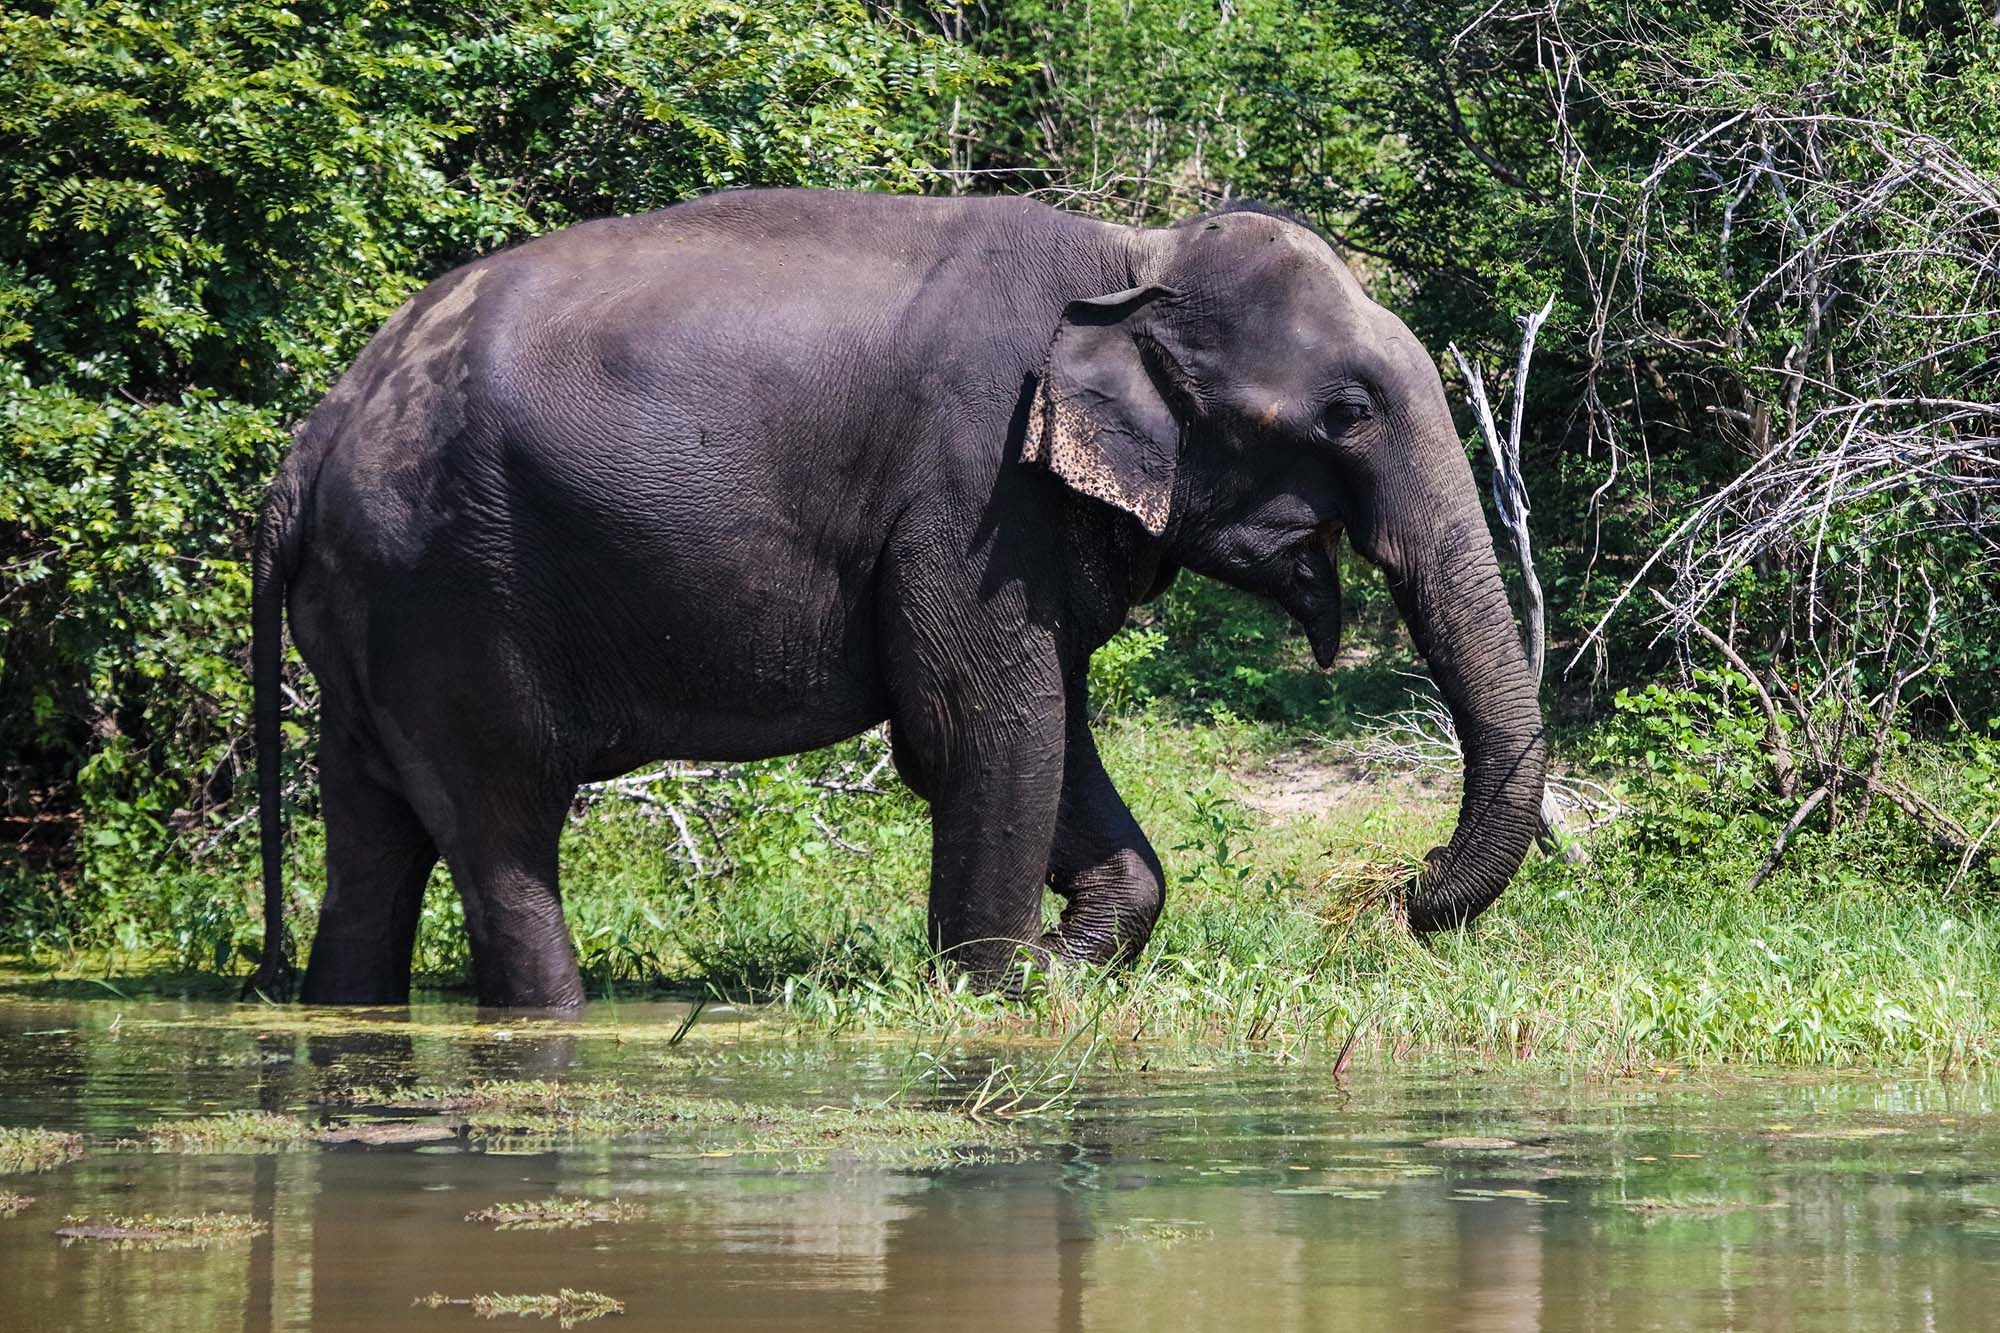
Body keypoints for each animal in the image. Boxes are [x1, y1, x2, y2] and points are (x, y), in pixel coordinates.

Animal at [244, 188, 1547, 1008]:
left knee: (374, 837)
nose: (1410, 880)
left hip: (372, 619)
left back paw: (340, 1017)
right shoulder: (969, 486)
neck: (1128, 259)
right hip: (452, 593)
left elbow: (1037, 724)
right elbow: (981, 725)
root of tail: (309, 445)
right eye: (1347, 413)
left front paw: (1056, 967)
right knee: (502, 827)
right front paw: (988, 991)